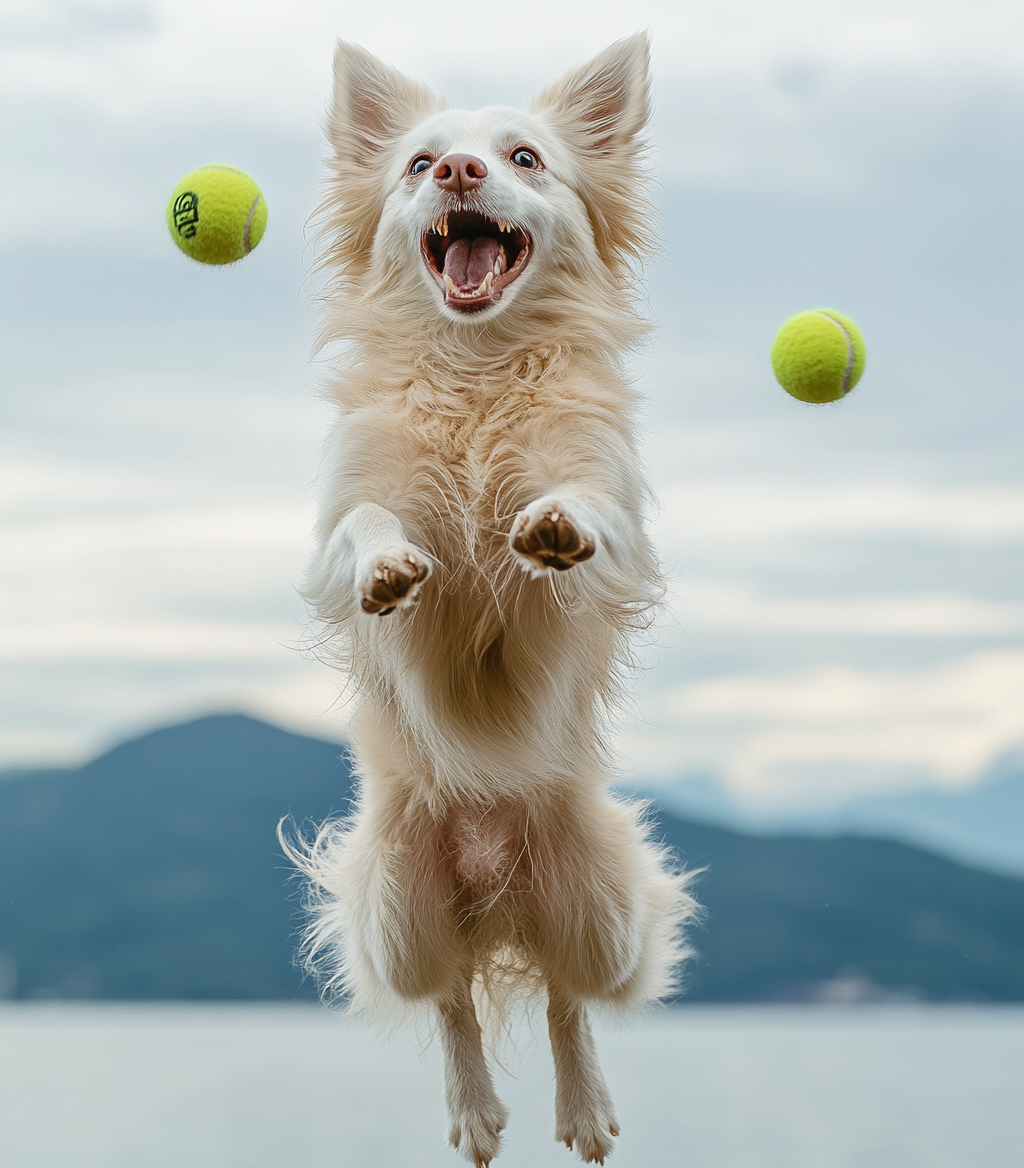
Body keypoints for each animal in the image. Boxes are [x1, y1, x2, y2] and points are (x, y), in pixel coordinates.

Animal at [283, 34, 700, 1168]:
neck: (473, 366)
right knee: (452, 998)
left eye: (524, 156)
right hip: (399, 914)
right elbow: (367, 532)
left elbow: (580, 514)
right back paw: (474, 1110)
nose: (464, 172)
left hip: (601, 911)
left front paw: (551, 525)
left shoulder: (609, 511)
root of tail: (494, 897)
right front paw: (390, 568)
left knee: (563, 993)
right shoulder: (346, 517)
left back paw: (583, 1108)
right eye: (422, 164)